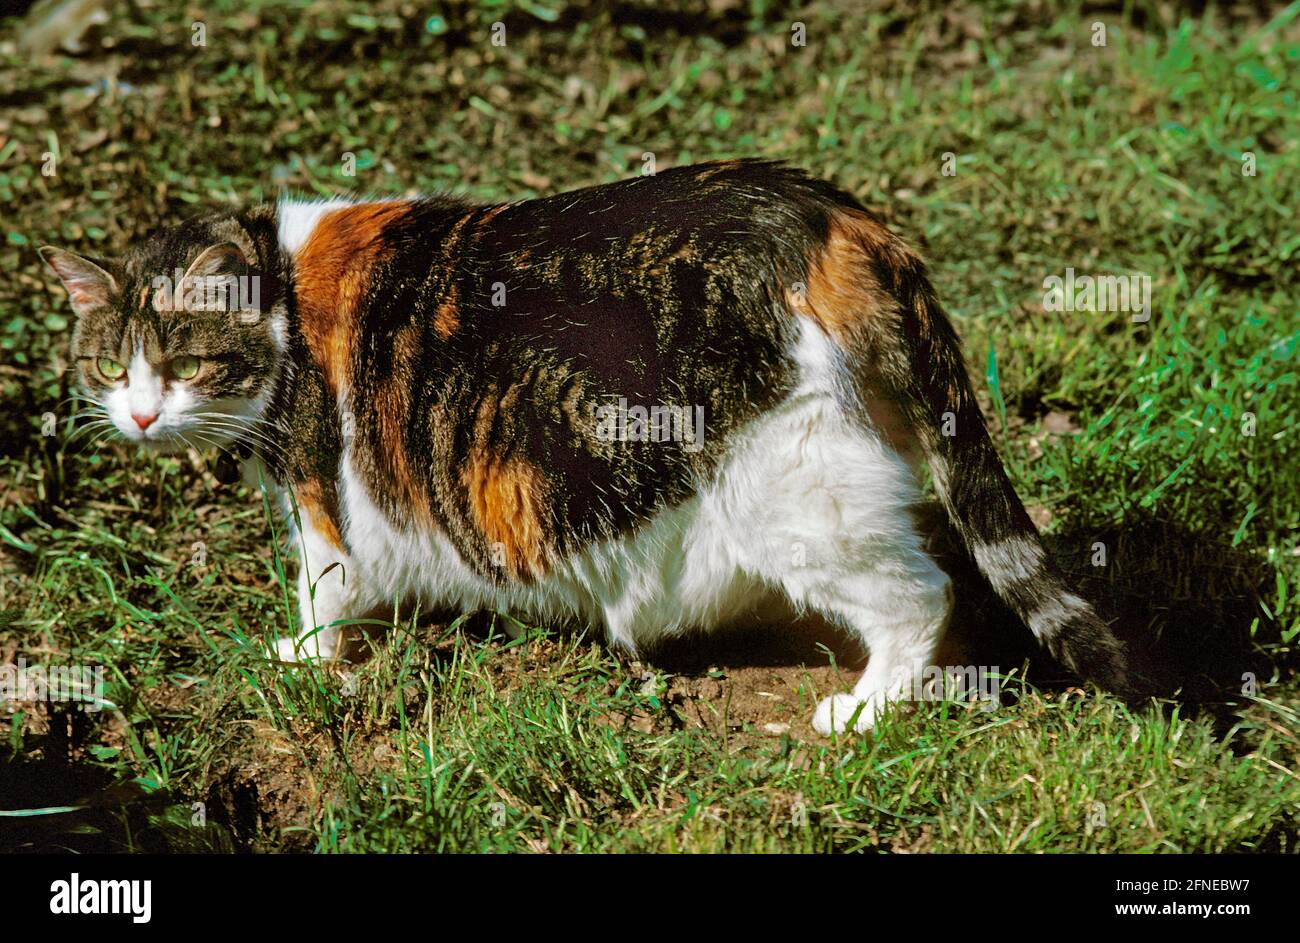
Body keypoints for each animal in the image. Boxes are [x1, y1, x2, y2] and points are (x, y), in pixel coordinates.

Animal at [43, 158, 1128, 733]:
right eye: (110, 367)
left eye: (183, 362)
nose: (141, 415)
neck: (277, 293)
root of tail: (830, 219)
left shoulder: (324, 495)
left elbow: (325, 588)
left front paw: (304, 658)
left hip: (792, 495)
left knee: (922, 593)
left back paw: (862, 712)